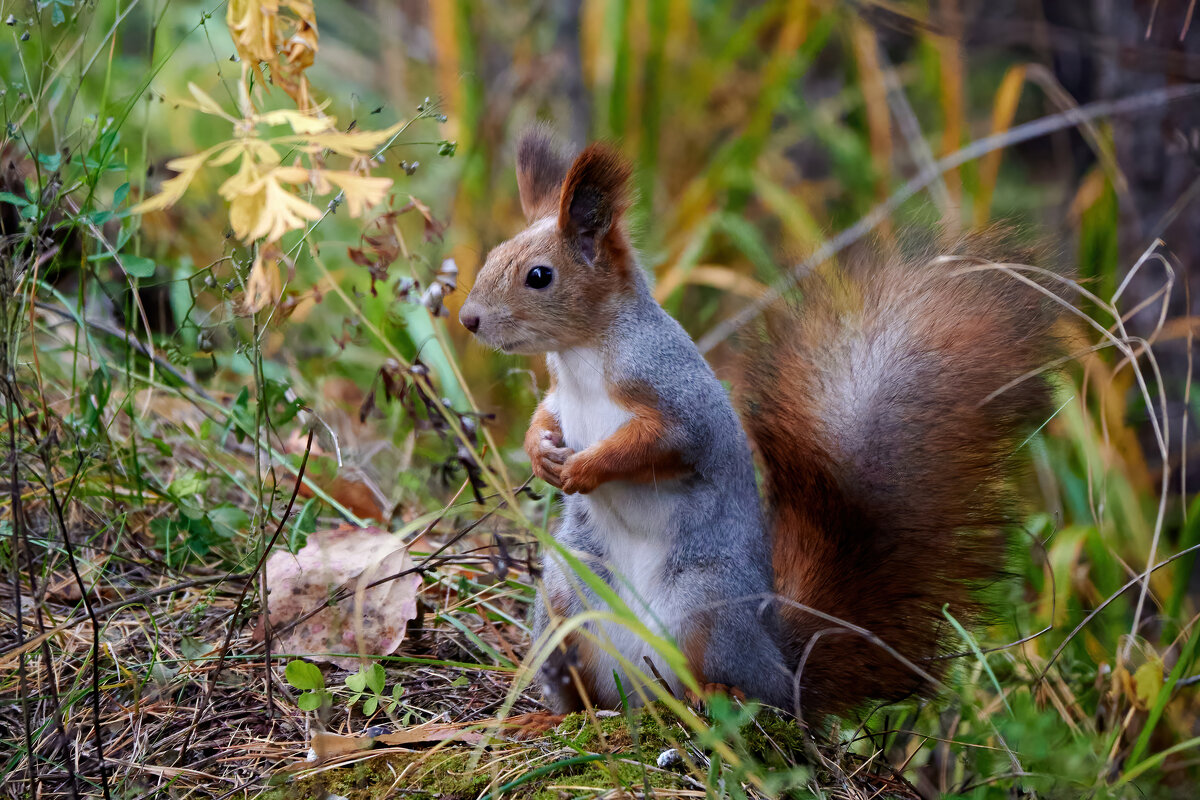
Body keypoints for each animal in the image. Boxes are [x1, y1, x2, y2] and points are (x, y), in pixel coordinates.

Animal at [453, 128, 1056, 724]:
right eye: (494, 255)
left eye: (539, 276)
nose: (468, 319)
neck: (580, 357)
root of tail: (783, 666)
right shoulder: (561, 396)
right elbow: (545, 416)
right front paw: (541, 453)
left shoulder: (676, 398)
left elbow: (659, 442)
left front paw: (584, 468)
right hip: (568, 598)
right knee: (592, 689)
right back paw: (553, 715)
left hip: (704, 607)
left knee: (736, 685)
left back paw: (721, 695)